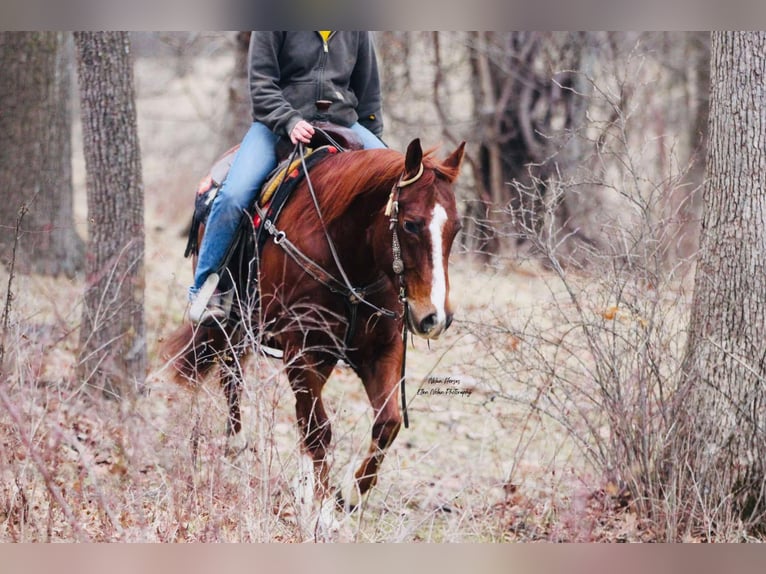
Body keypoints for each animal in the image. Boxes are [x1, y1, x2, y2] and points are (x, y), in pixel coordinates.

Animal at [164, 138, 464, 512]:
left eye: (457, 228)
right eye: (410, 224)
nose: (435, 318)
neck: (350, 258)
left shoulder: (381, 349)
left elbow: (387, 423)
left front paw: (350, 493)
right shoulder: (300, 350)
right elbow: (318, 428)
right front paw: (322, 508)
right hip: (234, 322)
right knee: (232, 374)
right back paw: (236, 447)